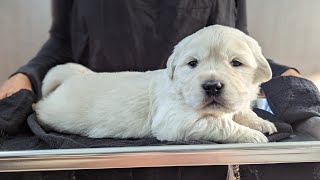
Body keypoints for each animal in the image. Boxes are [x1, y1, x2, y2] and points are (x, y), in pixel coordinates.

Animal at [33, 25, 276, 143]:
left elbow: (242, 111)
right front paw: (252, 135)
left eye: (236, 63)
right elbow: (219, 124)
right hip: (57, 110)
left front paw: (261, 123)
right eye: (193, 63)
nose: (212, 86)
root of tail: (72, 77)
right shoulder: (176, 121)